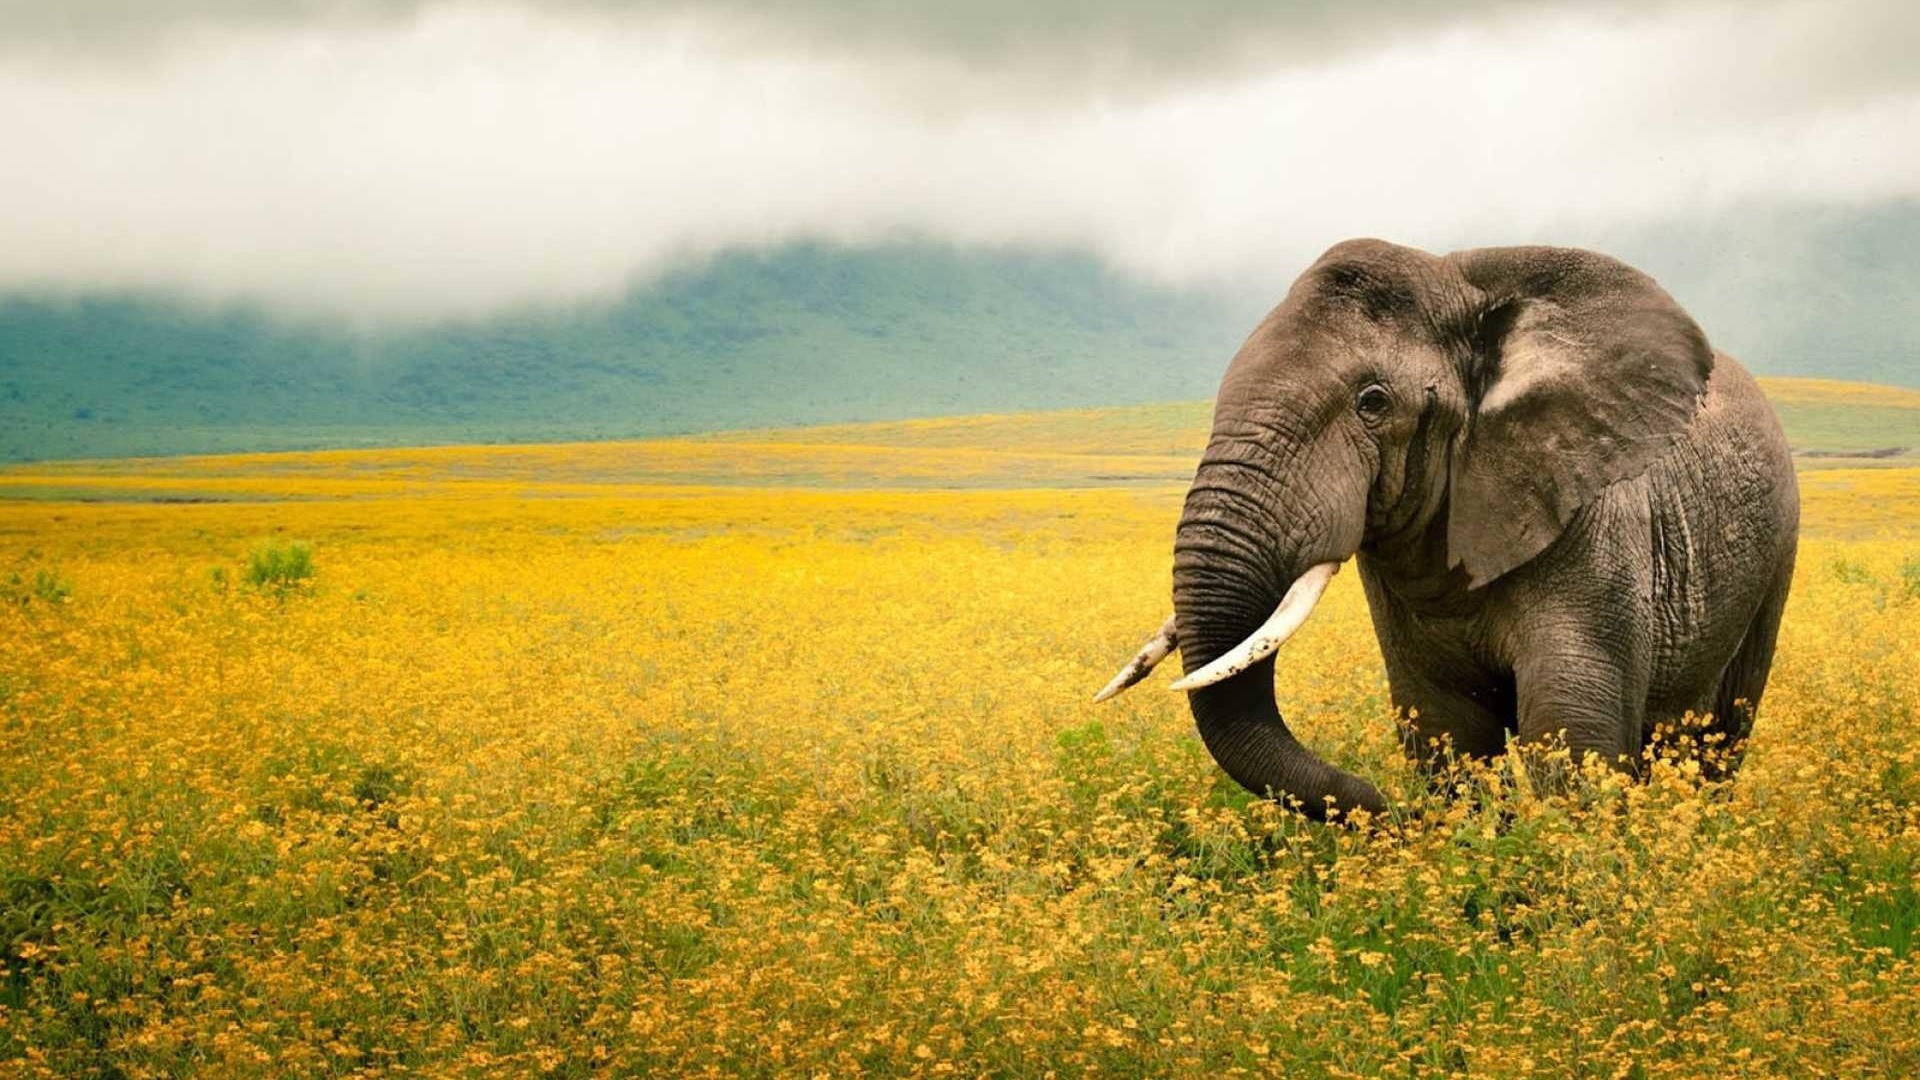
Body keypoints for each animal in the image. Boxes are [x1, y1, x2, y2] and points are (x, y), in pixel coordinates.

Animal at [1096, 239, 1799, 821]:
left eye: (1373, 403)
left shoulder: (1598, 518)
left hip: (1775, 556)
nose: (1385, 808)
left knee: (1719, 735)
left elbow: (1571, 732)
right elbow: (1447, 729)